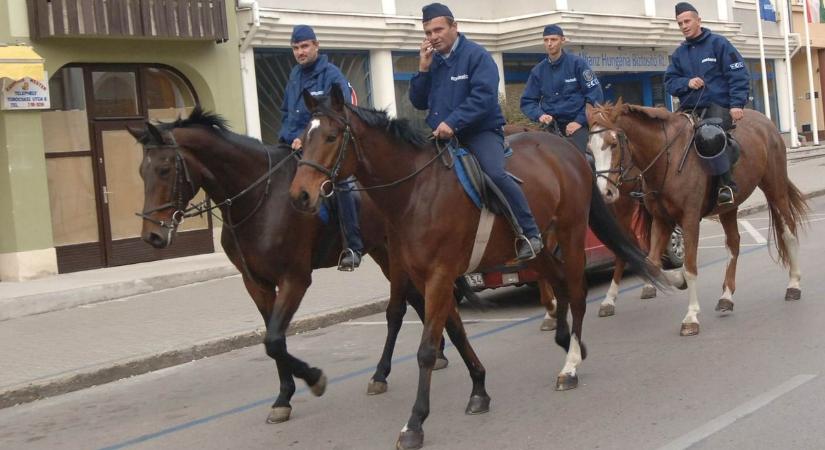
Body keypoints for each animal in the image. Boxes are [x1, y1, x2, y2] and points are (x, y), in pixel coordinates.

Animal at [126, 109, 458, 426]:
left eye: (165, 169)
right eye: (141, 171)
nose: (152, 236)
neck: (259, 198)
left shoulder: (294, 279)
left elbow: (274, 340)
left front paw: (314, 379)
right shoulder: (256, 283)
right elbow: (274, 340)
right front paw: (283, 398)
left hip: (395, 252)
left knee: (397, 310)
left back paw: (385, 371)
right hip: (383, 251)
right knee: (416, 300)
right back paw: (430, 355)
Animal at [290, 85, 664, 450]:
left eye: (332, 136)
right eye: (303, 139)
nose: (300, 196)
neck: (416, 191)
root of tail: (571, 152)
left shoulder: (439, 275)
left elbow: (427, 349)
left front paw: (415, 423)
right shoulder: (426, 277)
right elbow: (456, 332)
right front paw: (479, 390)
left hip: (571, 234)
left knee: (577, 291)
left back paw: (571, 364)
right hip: (538, 247)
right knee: (558, 282)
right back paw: (567, 341)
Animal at [584, 100, 804, 336]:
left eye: (613, 143)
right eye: (589, 148)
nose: (604, 192)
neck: (667, 159)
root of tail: (767, 122)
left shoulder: (689, 220)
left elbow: (689, 268)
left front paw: (691, 317)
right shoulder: (662, 221)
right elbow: (650, 264)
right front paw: (675, 280)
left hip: (775, 188)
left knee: (788, 231)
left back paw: (794, 285)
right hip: (728, 207)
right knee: (733, 243)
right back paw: (726, 297)